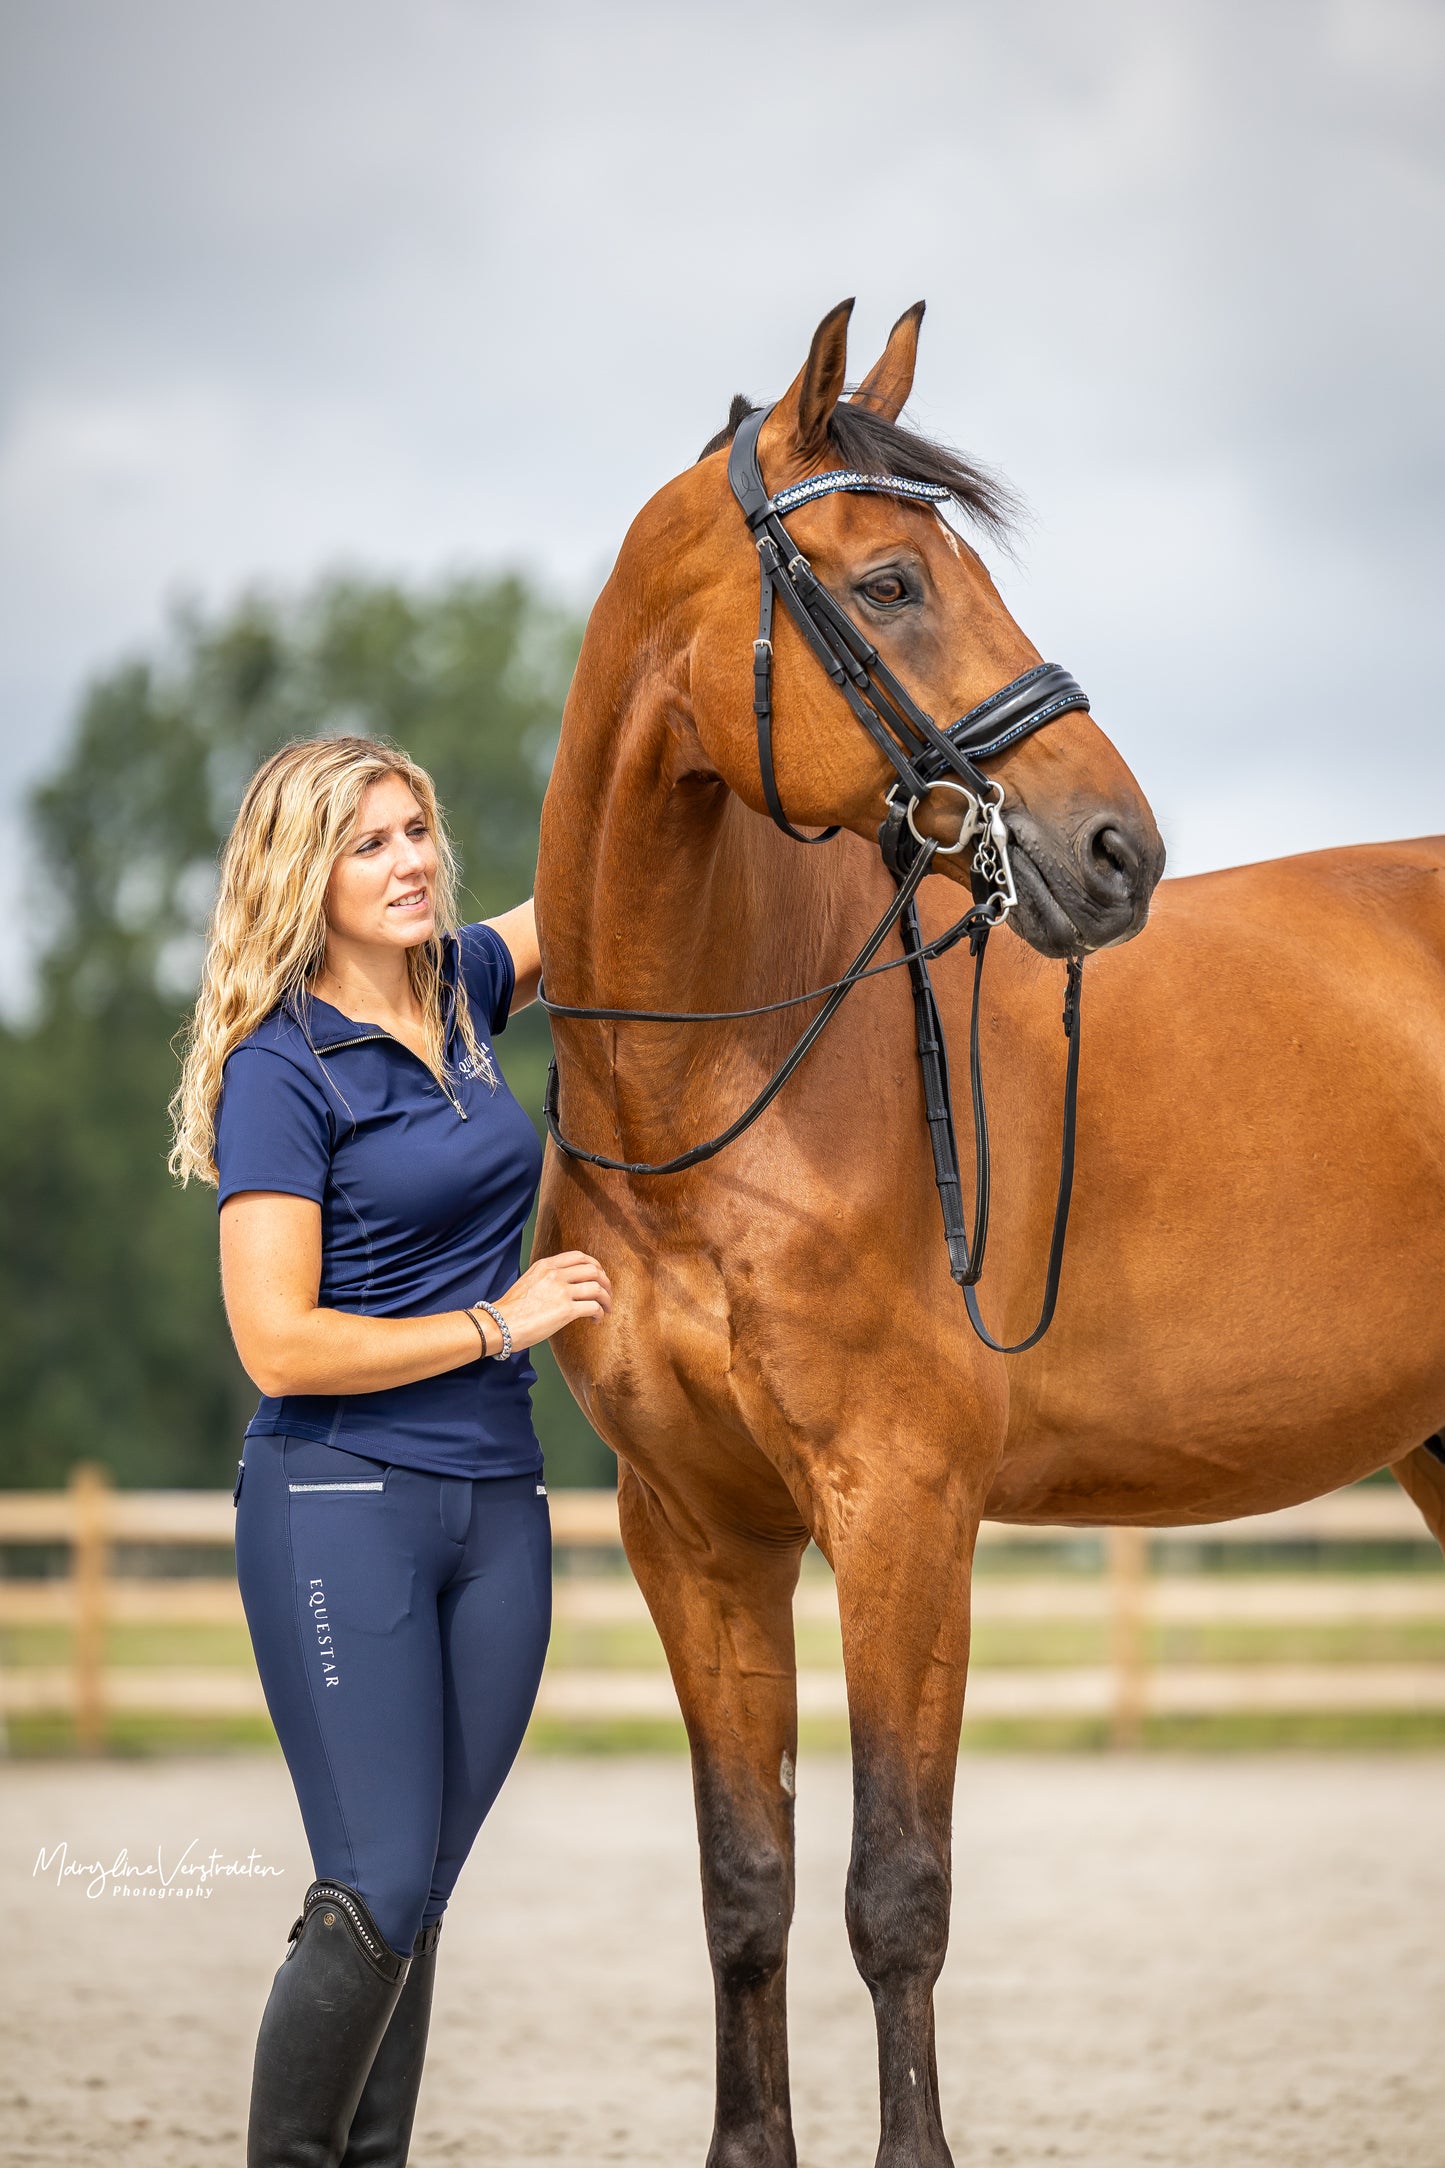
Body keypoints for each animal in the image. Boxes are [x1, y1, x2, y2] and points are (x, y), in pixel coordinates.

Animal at [530, 297, 1445, 2159]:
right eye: (888, 582)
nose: (1117, 850)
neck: (710, 1085)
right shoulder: (697, 1534)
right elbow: (747, 1885)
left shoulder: (904, 1510)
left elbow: (896, 1891)